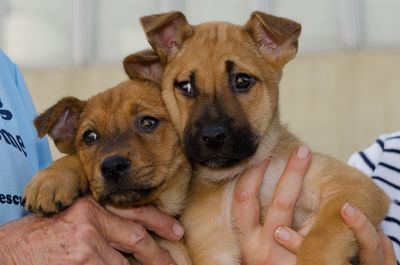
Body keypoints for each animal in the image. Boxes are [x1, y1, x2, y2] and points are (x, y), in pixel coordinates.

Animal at [130, 11, 390, 264]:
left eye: (242, 81)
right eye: (185, 86)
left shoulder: (351, 187)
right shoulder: (214, 245)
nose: (212, 136)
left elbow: (321, 237)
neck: (235, 174)